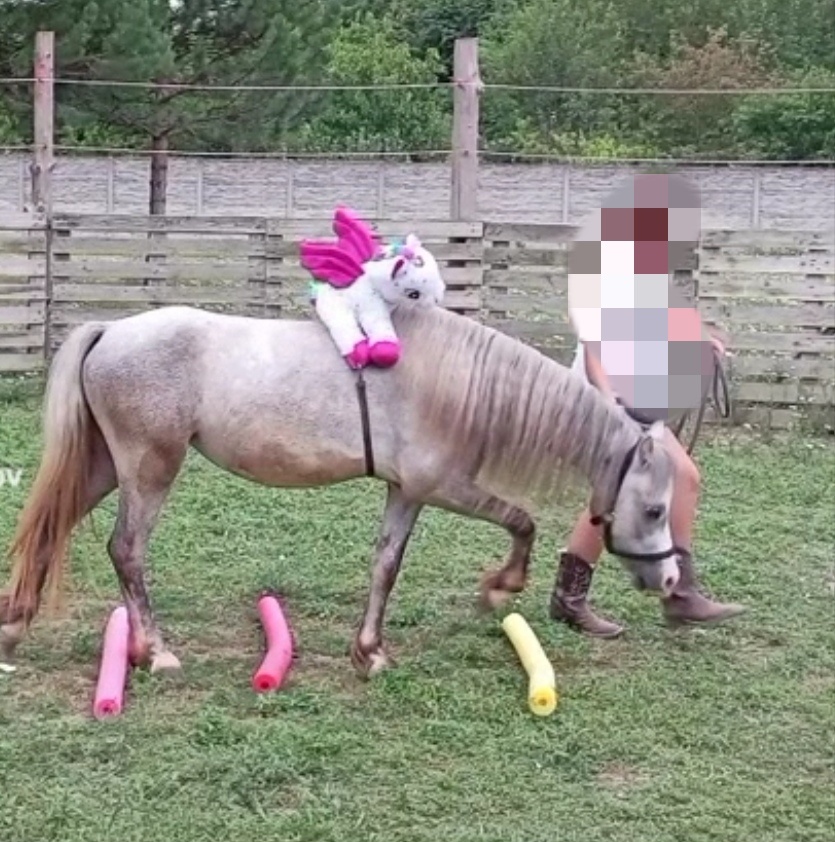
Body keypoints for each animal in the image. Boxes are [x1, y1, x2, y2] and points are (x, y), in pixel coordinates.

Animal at [0, 303, 680, 677]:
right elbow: (521, 520)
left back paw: (15, 625)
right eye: (653, 508)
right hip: (148, 470)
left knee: (52, 528)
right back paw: (154, 651)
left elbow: (386, 565)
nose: (670, 578)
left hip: (103, 466)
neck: (454, 378)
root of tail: (111, 329)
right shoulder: (443, 485)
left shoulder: (406, 491)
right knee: (127, 550)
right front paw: (499, 586)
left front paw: (369, 651)